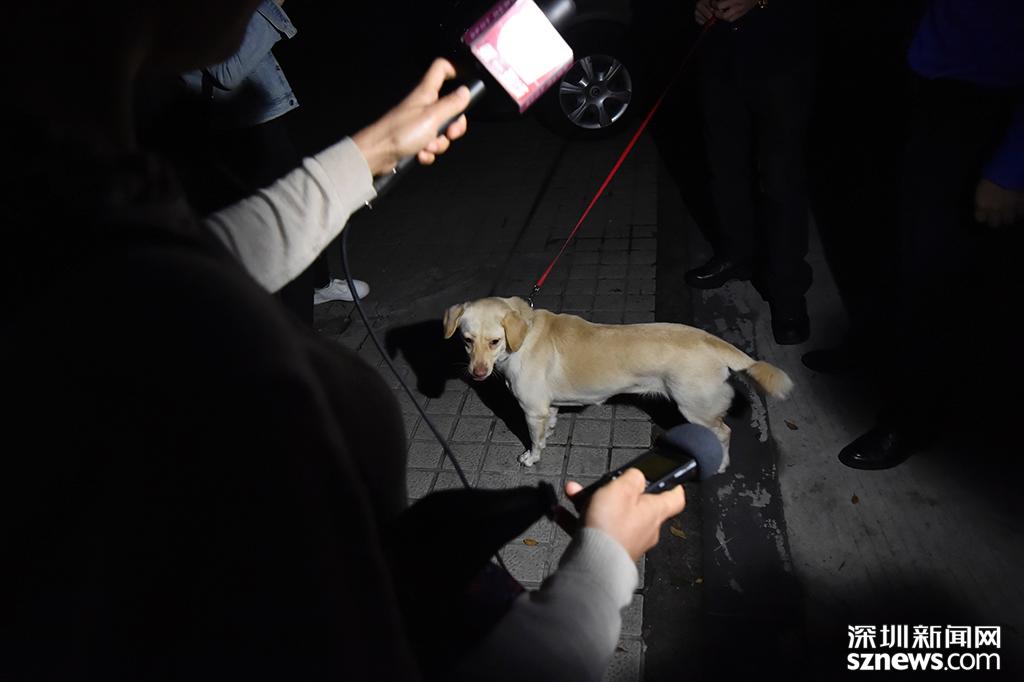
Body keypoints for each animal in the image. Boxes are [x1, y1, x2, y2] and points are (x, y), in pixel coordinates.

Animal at [443, 296, 793, 472]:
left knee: (725, 432)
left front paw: (532, 457)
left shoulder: (531, 410)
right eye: (466, 340)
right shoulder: (546, 407)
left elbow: (534, 442)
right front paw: (550, 434)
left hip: (696, 409)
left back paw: (720, 463)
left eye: (494, 342)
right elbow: (549, 425)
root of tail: (713, 342)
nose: (477, 373)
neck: (524, 335)